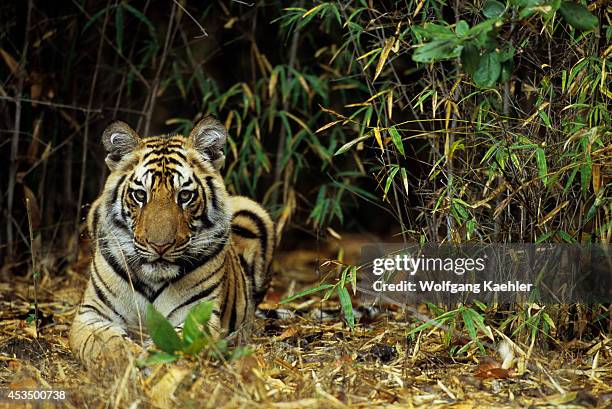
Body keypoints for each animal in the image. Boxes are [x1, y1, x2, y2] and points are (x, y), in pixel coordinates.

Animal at [68, 115, 274, 366]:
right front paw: (127, 359)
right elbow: (108, 343)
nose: (160, 246)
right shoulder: (91, 313)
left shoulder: (198, 315)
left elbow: (175, 342)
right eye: (140, 195)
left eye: (184, 196)